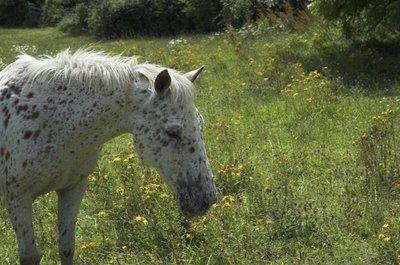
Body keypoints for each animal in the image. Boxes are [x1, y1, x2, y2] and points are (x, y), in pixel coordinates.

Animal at [0, 49, 216, 264]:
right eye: (173, 132)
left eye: (200, 124)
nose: (207, 199)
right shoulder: (18, 197)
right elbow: (30, 255)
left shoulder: (72, 188)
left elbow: (66, 247)